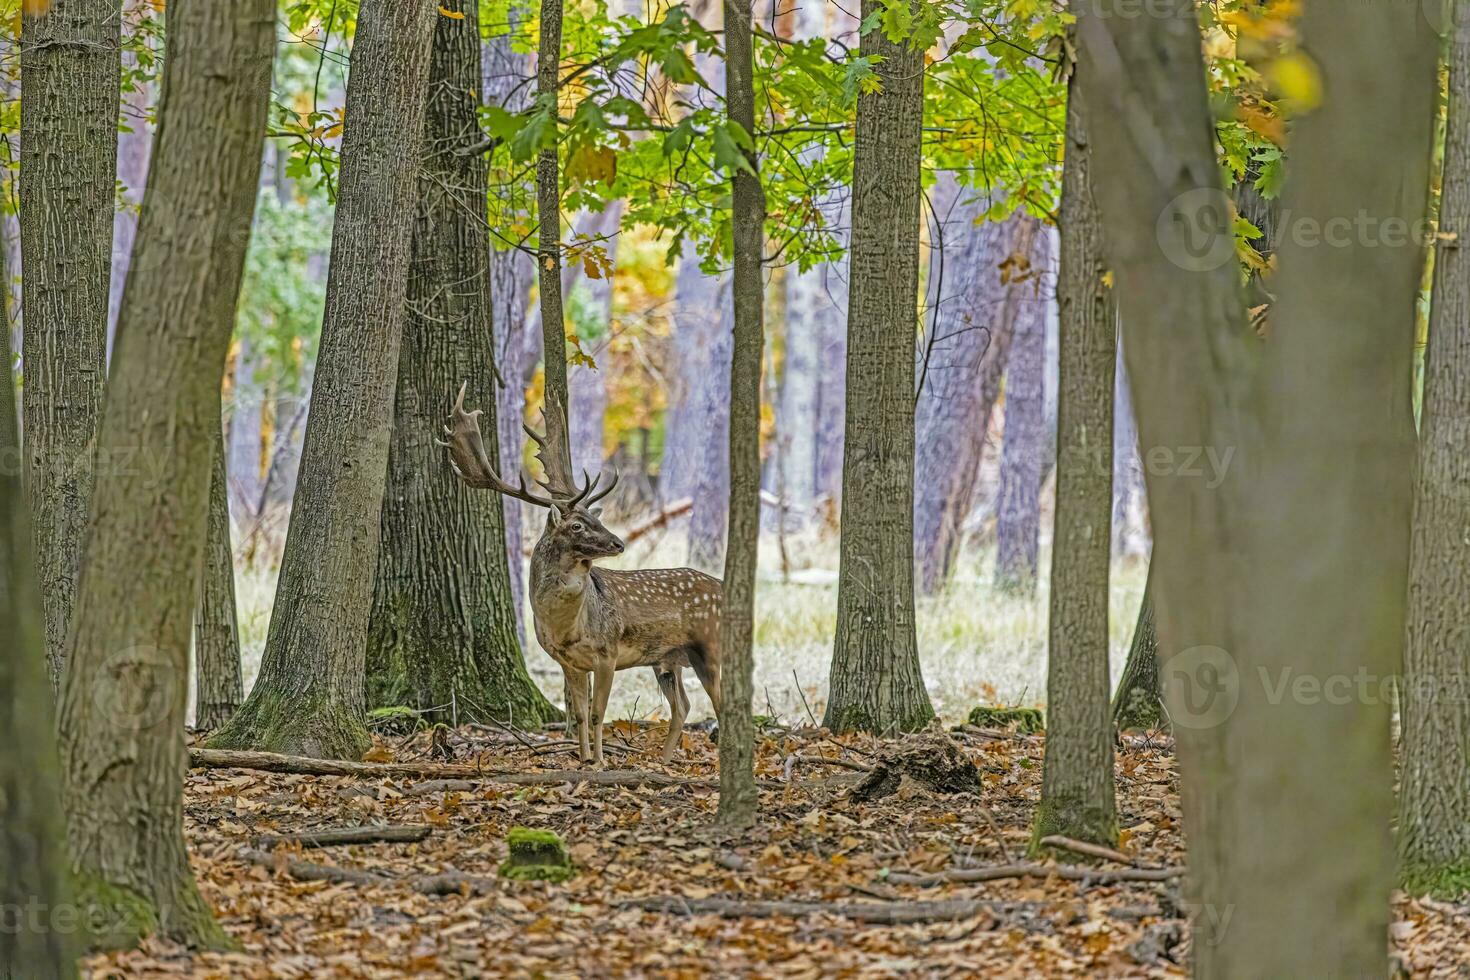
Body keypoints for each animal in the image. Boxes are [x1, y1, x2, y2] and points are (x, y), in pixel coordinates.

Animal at [441, 382, 729, 764]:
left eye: (596, 518)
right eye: (577, 525)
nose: (619, 542)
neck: (566, 628)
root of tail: (724, 588)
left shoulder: (607, 652)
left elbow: (598, 713)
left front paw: (601, 761)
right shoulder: (567, 662)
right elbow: (578, 713)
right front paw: (583, 759)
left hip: (708, 645)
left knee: (722, 705)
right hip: (667, 659)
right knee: (682, 705)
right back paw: (664, 761)